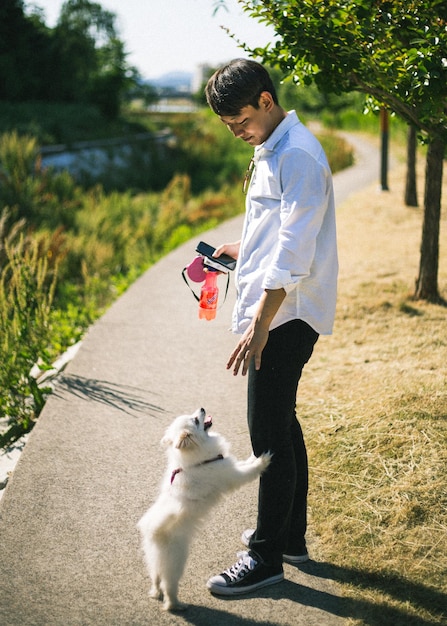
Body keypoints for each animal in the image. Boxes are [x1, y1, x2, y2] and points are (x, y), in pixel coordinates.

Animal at [136, 404, 272, 608]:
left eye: (194, 415)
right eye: (196, 420)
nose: (201, 408)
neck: (197, 460)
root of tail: (155, 534)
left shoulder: (228, 464)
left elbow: (243, 462)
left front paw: (253, 456)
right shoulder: (231, 475)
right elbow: (248, 470)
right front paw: (263, 460)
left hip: (154, 562)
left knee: (156, 579)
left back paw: (156, 593)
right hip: (175, 564)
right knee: (169, 589)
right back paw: (177, 606)